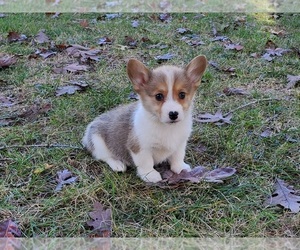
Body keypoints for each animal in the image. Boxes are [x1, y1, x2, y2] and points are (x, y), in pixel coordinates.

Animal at [83, 55, 207, 183]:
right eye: (158, 96)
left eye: (182, 95)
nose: (173, 114)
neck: (166, 127)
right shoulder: (139, 147)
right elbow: (146, 162)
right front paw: (150, 175)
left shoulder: (180, 143)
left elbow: (178, 156)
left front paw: (180, 168)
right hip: (97, 141)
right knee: (105, 157)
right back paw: (118, 164)